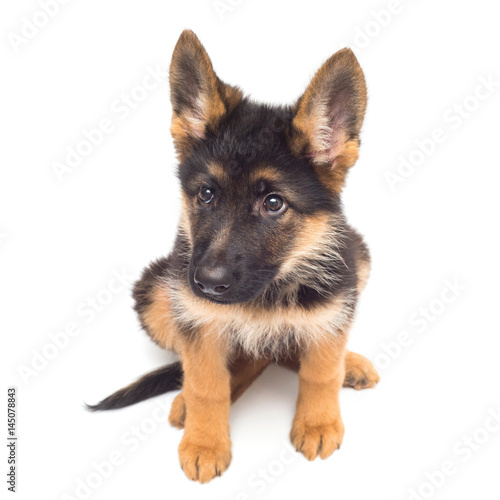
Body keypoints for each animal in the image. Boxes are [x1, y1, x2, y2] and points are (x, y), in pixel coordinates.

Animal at [89, 30, 378, 480]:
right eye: (207, 194)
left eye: (274, 203)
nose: (208, 284)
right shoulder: (195, 317)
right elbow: (207, 384)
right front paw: (205, 442)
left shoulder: (334, 303)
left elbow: (320, 370)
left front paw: (318, 422)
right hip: (157, 291)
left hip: (358, 260)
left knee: (287, 349)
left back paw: (349, 363)